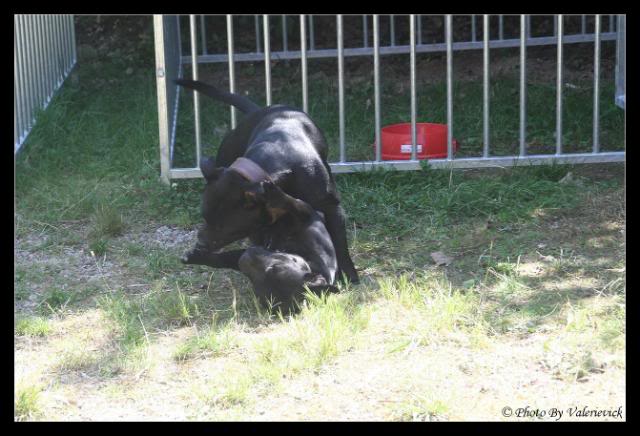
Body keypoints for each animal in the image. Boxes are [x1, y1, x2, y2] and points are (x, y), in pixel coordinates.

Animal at [175, 79, 360, 286]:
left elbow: (340, 242)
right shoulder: (261, 226)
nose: (200, 244)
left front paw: (349, 274)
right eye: (204, 217)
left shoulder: (331, 206)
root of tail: (261, 109)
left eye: (226, 227)